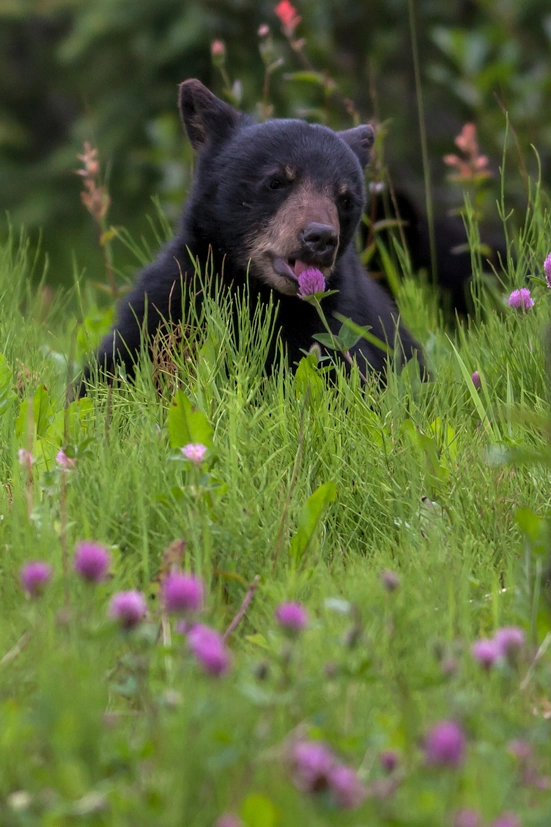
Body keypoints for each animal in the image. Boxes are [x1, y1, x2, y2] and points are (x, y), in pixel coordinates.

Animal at [84, 79, 424, 386]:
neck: (253, 290)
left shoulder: (337, 325)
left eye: (345, 200)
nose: (320, 237)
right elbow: (114, 366)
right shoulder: (170, 299)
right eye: (276, 181)